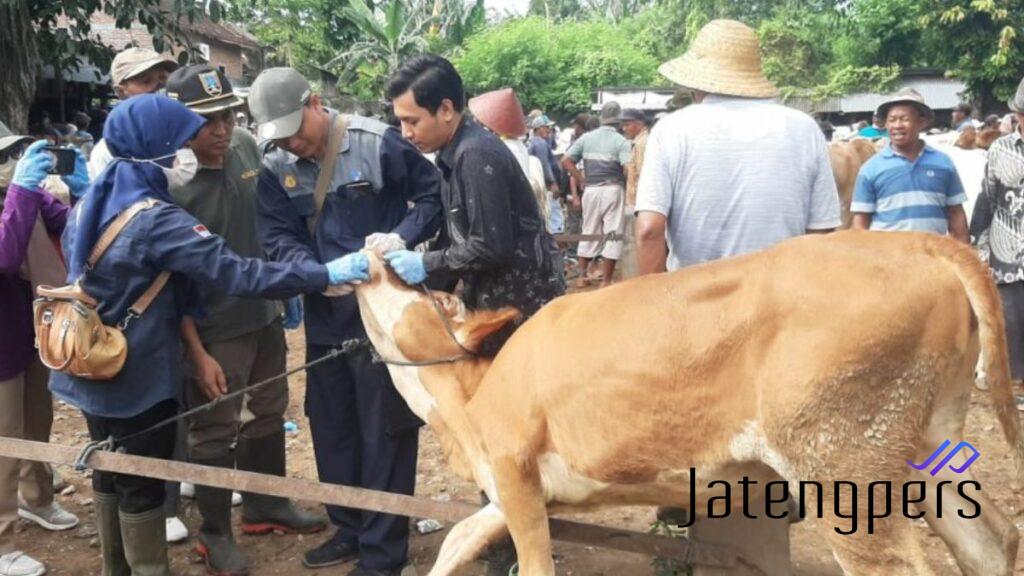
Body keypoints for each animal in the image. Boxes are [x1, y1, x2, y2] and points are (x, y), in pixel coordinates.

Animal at [354, 229, 1024, 573]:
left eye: (431, 294)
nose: (377, 244)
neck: (469, 403)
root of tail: (915, 241)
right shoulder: (510, 490)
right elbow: (456, 543)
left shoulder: (516, 475)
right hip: (917, 451)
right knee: (990, 543)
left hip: (843, 471)